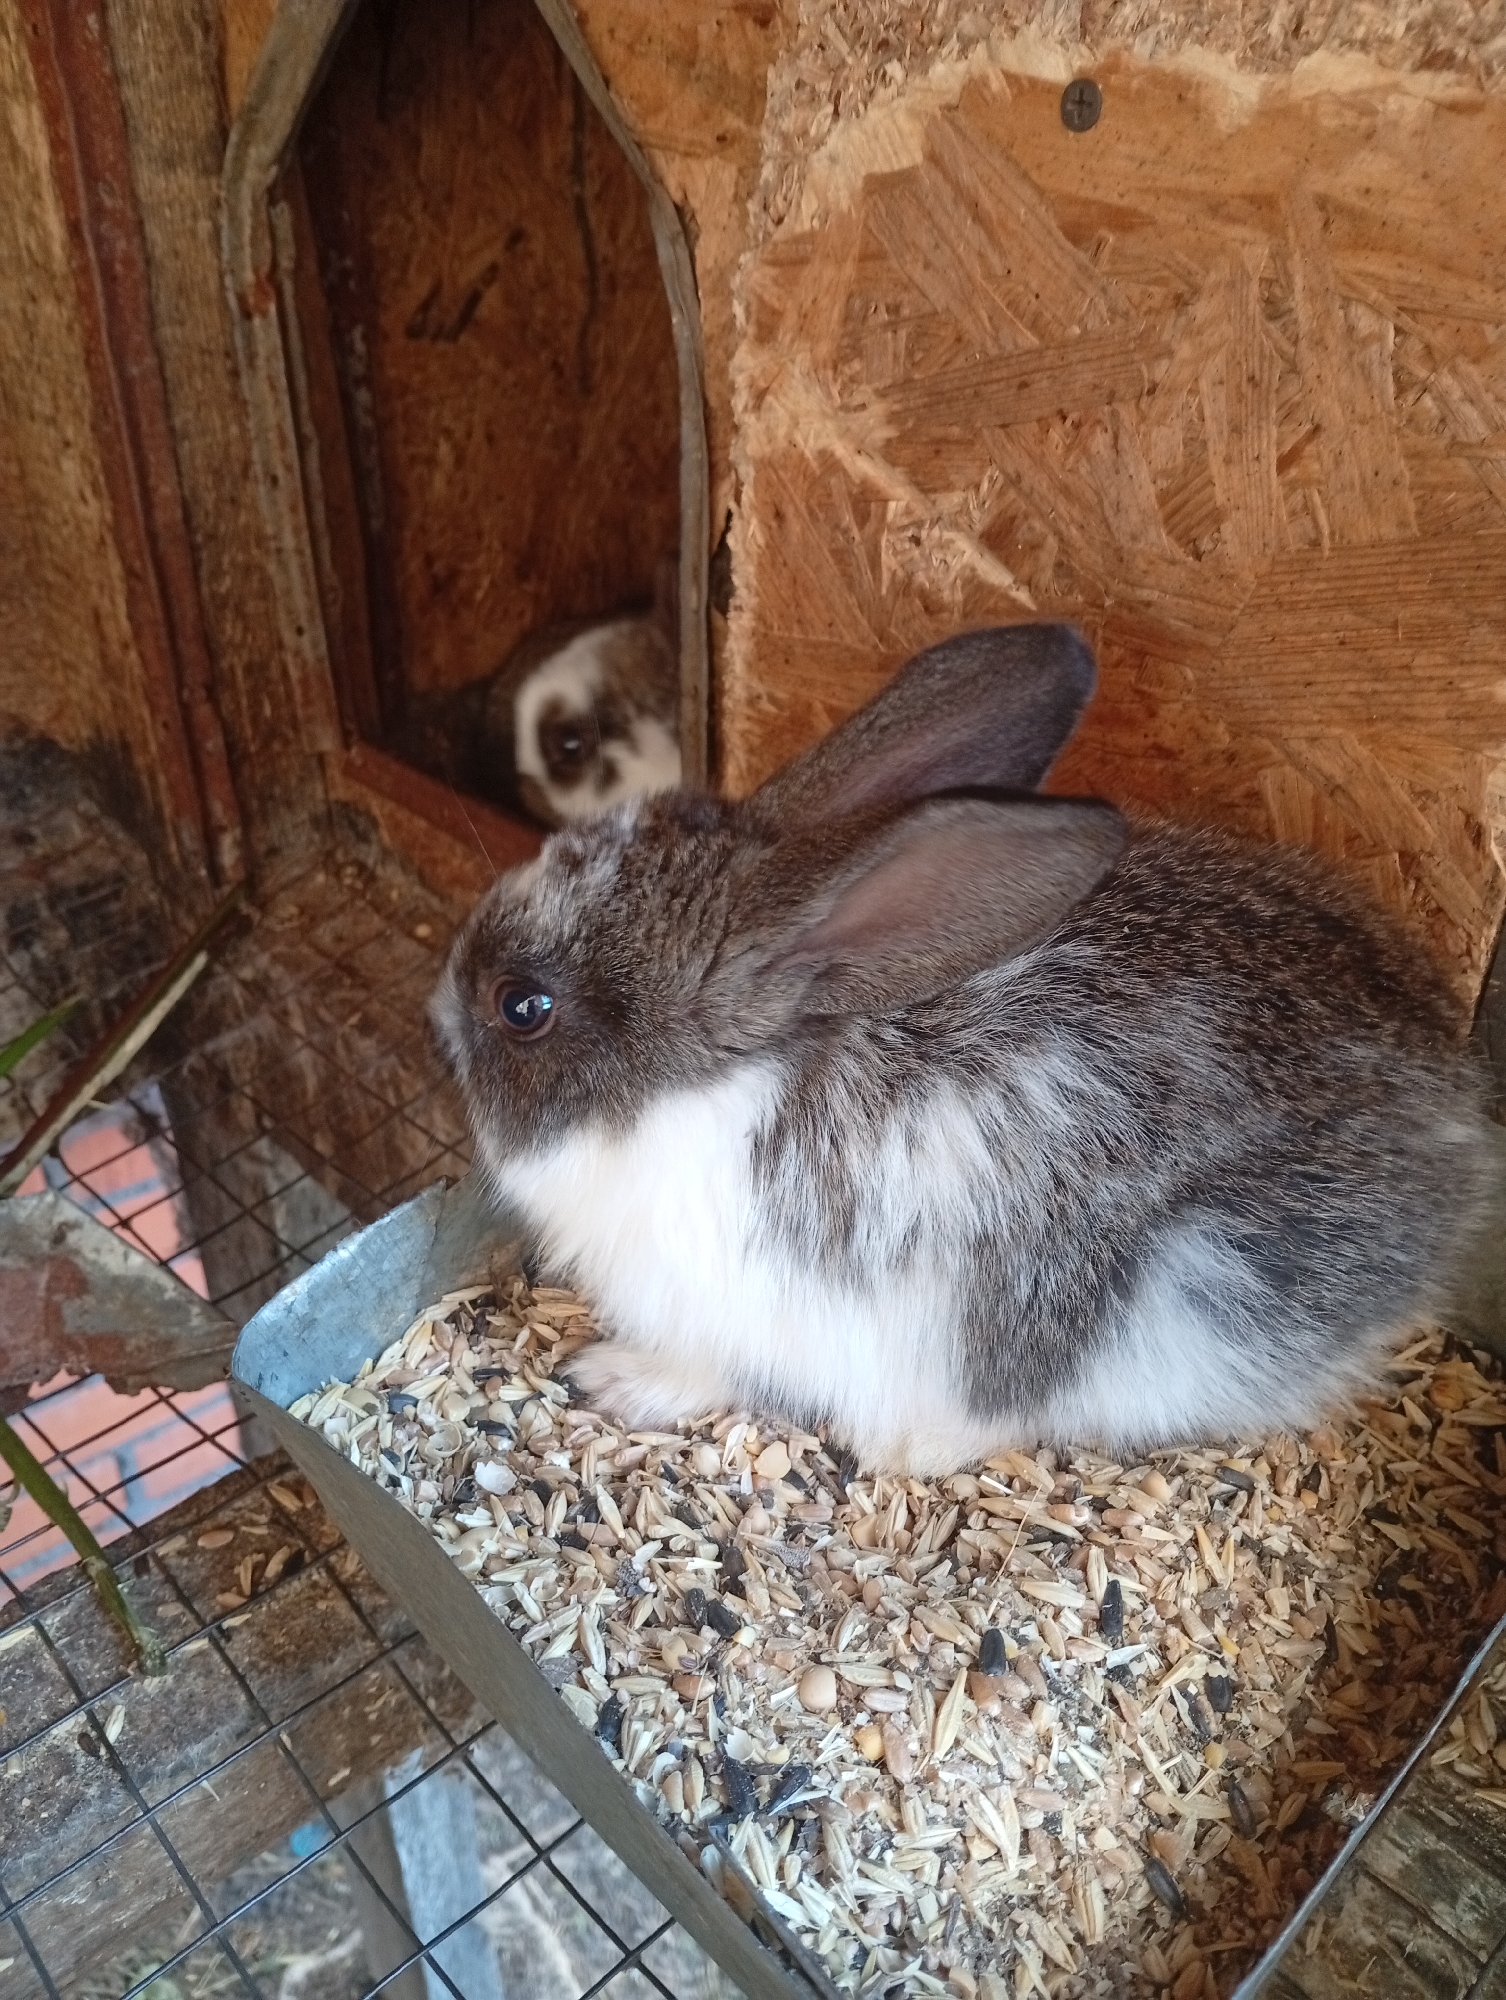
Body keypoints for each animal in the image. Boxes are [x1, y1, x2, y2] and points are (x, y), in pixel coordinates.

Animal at [430, 623, 1499, 1478]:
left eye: (523, 1006)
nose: (438, 1011)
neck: (709, 1084)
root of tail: (1453, 1143)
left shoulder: (734, 1307)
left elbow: (706, 1367)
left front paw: (617, 1381)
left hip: (1118, 1316)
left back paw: (906, 1445)